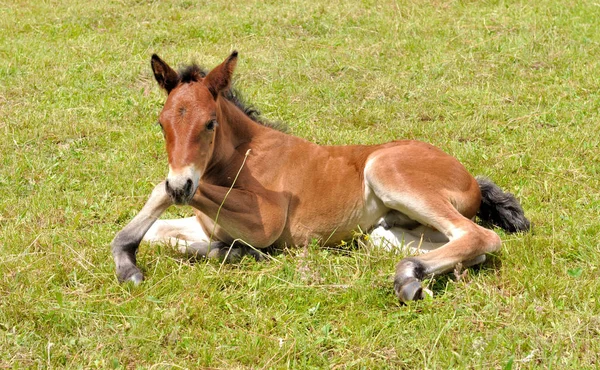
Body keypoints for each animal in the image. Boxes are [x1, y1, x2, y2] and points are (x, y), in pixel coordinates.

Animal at [112, 51, 528, 300]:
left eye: (210, 123)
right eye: (162, 123)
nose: (182, 183)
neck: (242, 157)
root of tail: (472, 180)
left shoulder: (267, 222)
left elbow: (159, 193)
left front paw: (127, 261)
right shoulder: (204, 221)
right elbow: (161, 233)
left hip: (386, 172)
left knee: (480, 236)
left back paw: (407, 277)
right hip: (385, 233)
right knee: (462, 247)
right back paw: (413, 272)